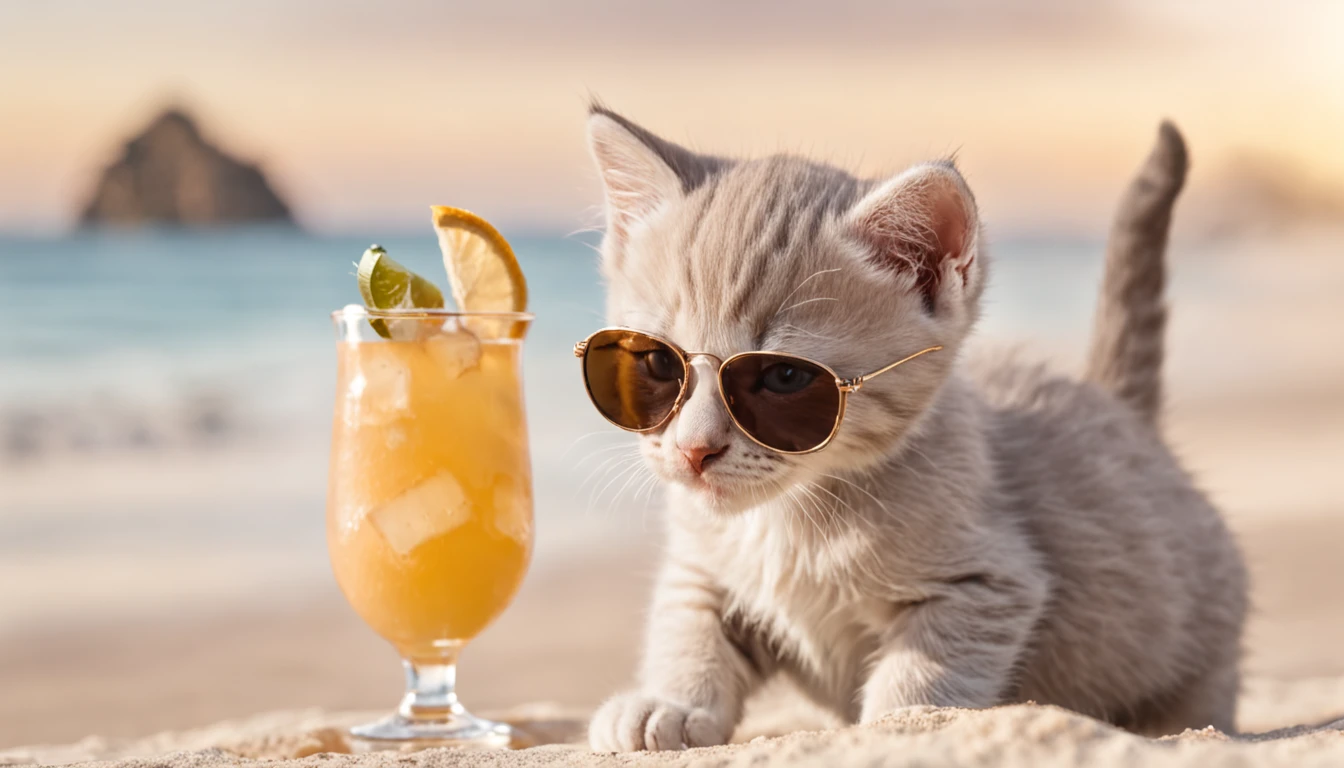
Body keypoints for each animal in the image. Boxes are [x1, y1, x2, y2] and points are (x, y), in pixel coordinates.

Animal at [588, 103, 1247, 753]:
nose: (694, 449)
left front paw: (903, 724)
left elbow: (925, 670)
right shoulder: (701, 569)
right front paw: (671, 701)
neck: (787, 520)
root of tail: (1119, 408)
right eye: (657, 364)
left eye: (782, 378)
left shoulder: (988, 580)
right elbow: (689, 628)